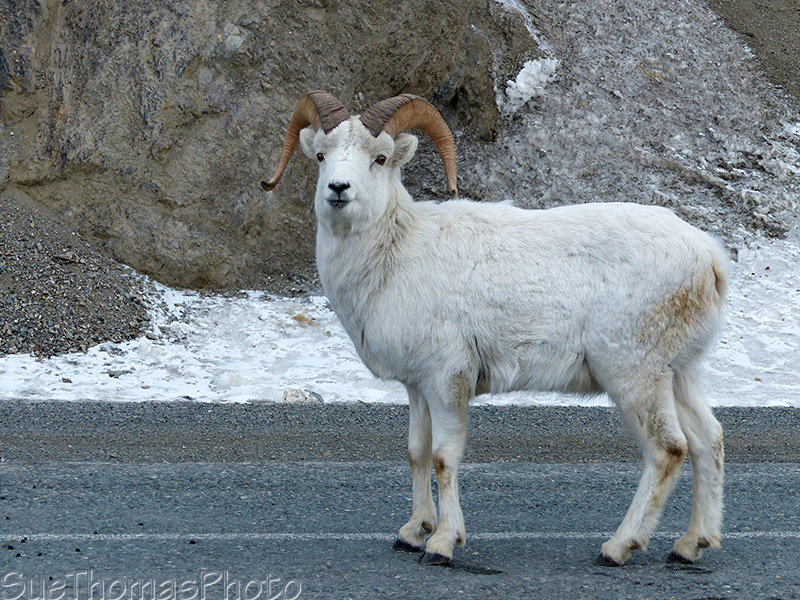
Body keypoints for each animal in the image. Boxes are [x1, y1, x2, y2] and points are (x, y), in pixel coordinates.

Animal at [261, 91, 728, 567]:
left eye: (379, 158)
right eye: (322, 155)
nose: (339, 190)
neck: (394, 255)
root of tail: (708, 257)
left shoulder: (448, 380)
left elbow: (444, 458)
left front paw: (442, 544)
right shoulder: (417, 386)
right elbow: (416, 452)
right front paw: (412, 533)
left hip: (632, 374)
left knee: (667, 449)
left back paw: (618, 547)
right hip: (678, 373)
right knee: (708, 440)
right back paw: (690, 545)